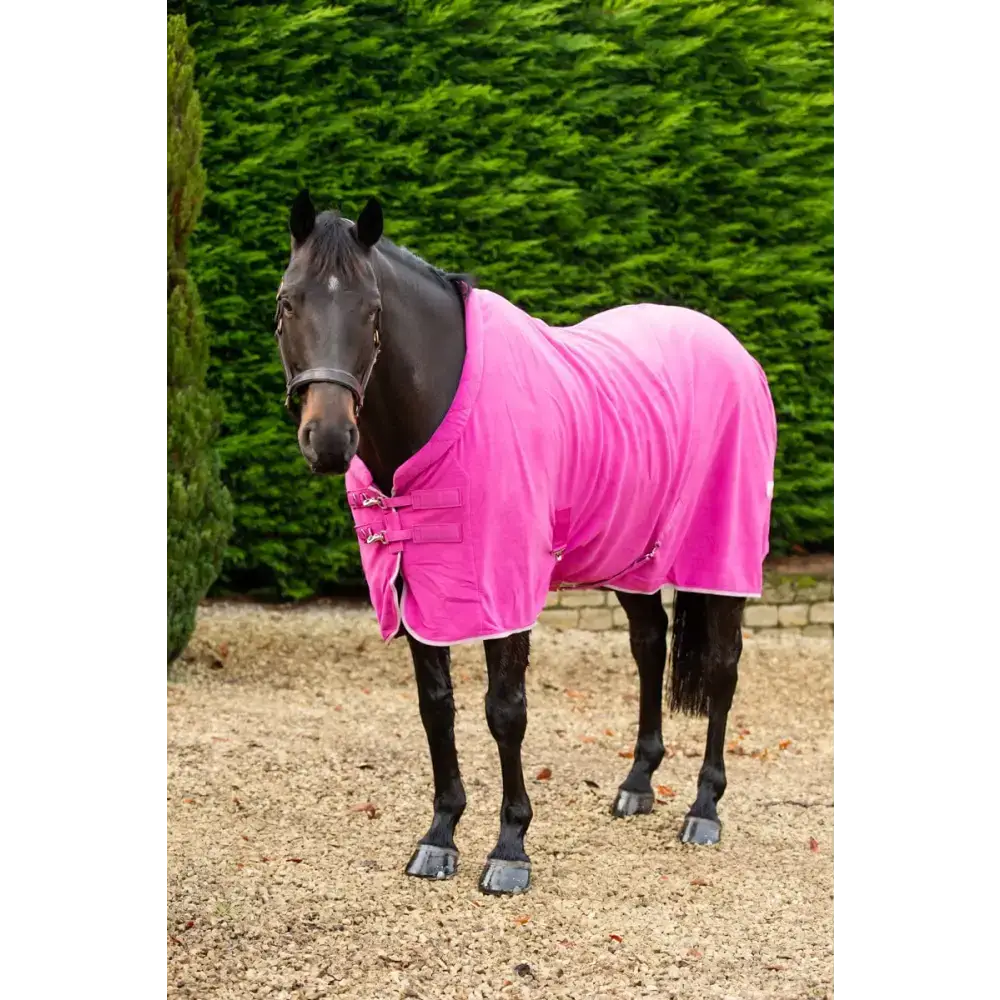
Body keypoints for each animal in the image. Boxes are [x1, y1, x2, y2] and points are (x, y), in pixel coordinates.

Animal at [272, 190, 778, 896]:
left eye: (372, 310)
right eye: (288, 302)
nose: (328, 439)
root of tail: (733, 349)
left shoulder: (504, 588)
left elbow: (505, 711)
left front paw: (510, 849)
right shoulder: (412, 585)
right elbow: (436, 709)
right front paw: (439, 836)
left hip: (722, 555)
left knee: (725, 667)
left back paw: (704, 809)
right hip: (632, 556)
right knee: (650, 646)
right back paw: (638, 783)